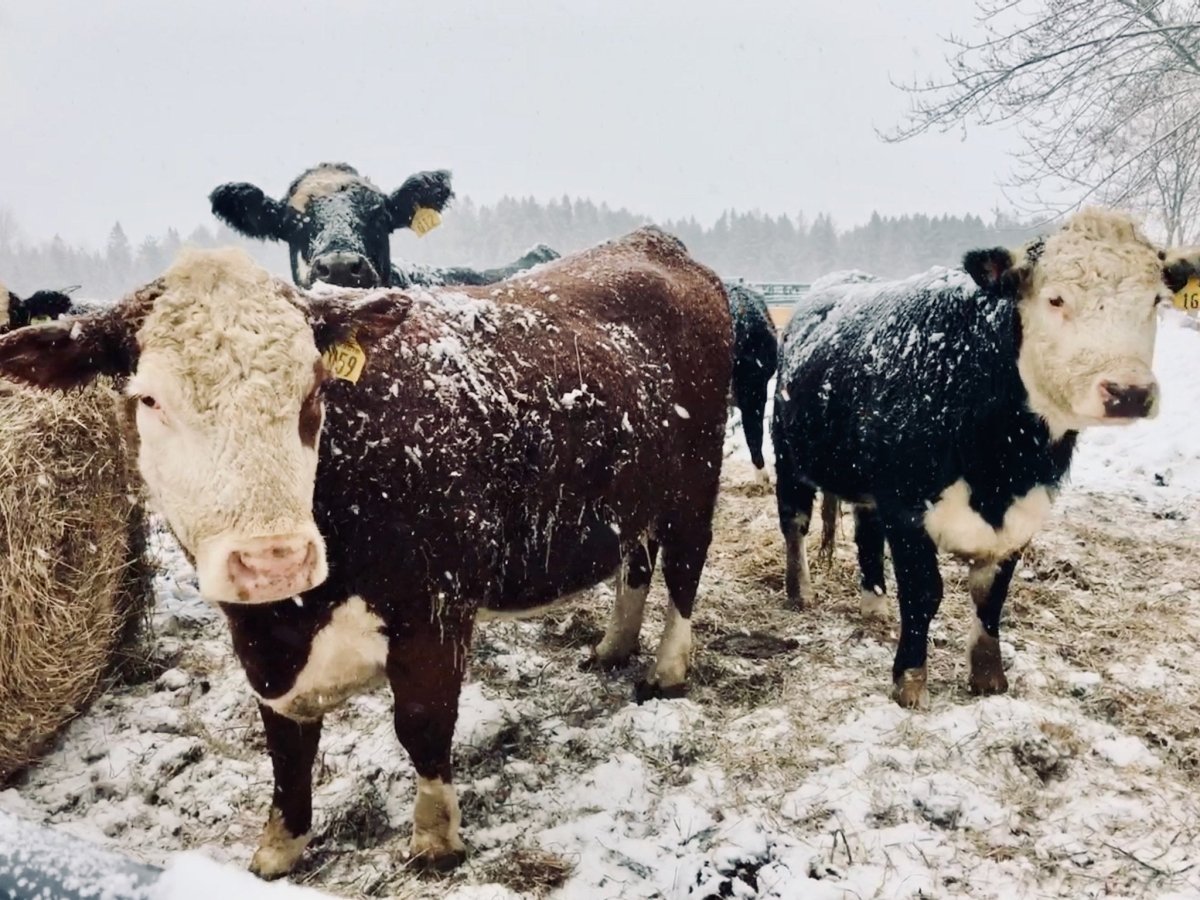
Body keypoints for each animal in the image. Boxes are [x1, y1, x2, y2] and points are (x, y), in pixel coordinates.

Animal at [0, 227, 731, 877]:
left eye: (315, 388)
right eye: (149, 399)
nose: (273, 558)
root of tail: (653, 243)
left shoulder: (436, 605)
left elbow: (423, 724)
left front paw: (435, 837)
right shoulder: (259, 641)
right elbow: (285, 744)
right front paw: (281, 845)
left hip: (695, 484)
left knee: (684, 569)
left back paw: (666, 669)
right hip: (632, 498)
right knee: (637, 562)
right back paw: (614, 644)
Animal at [771, 208, 1198, 709]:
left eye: (1156, 300)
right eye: (1055, 298)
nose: (1129, 392)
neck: (1003, 462)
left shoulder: (1020, 513)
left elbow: (991, 596)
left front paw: (989, 677)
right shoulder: (907, 505)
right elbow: (923, 593)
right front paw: (909, 681)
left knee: (866, 533)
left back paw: (873, 605)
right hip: (789, 455)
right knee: (795, 523)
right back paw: (800, 592)